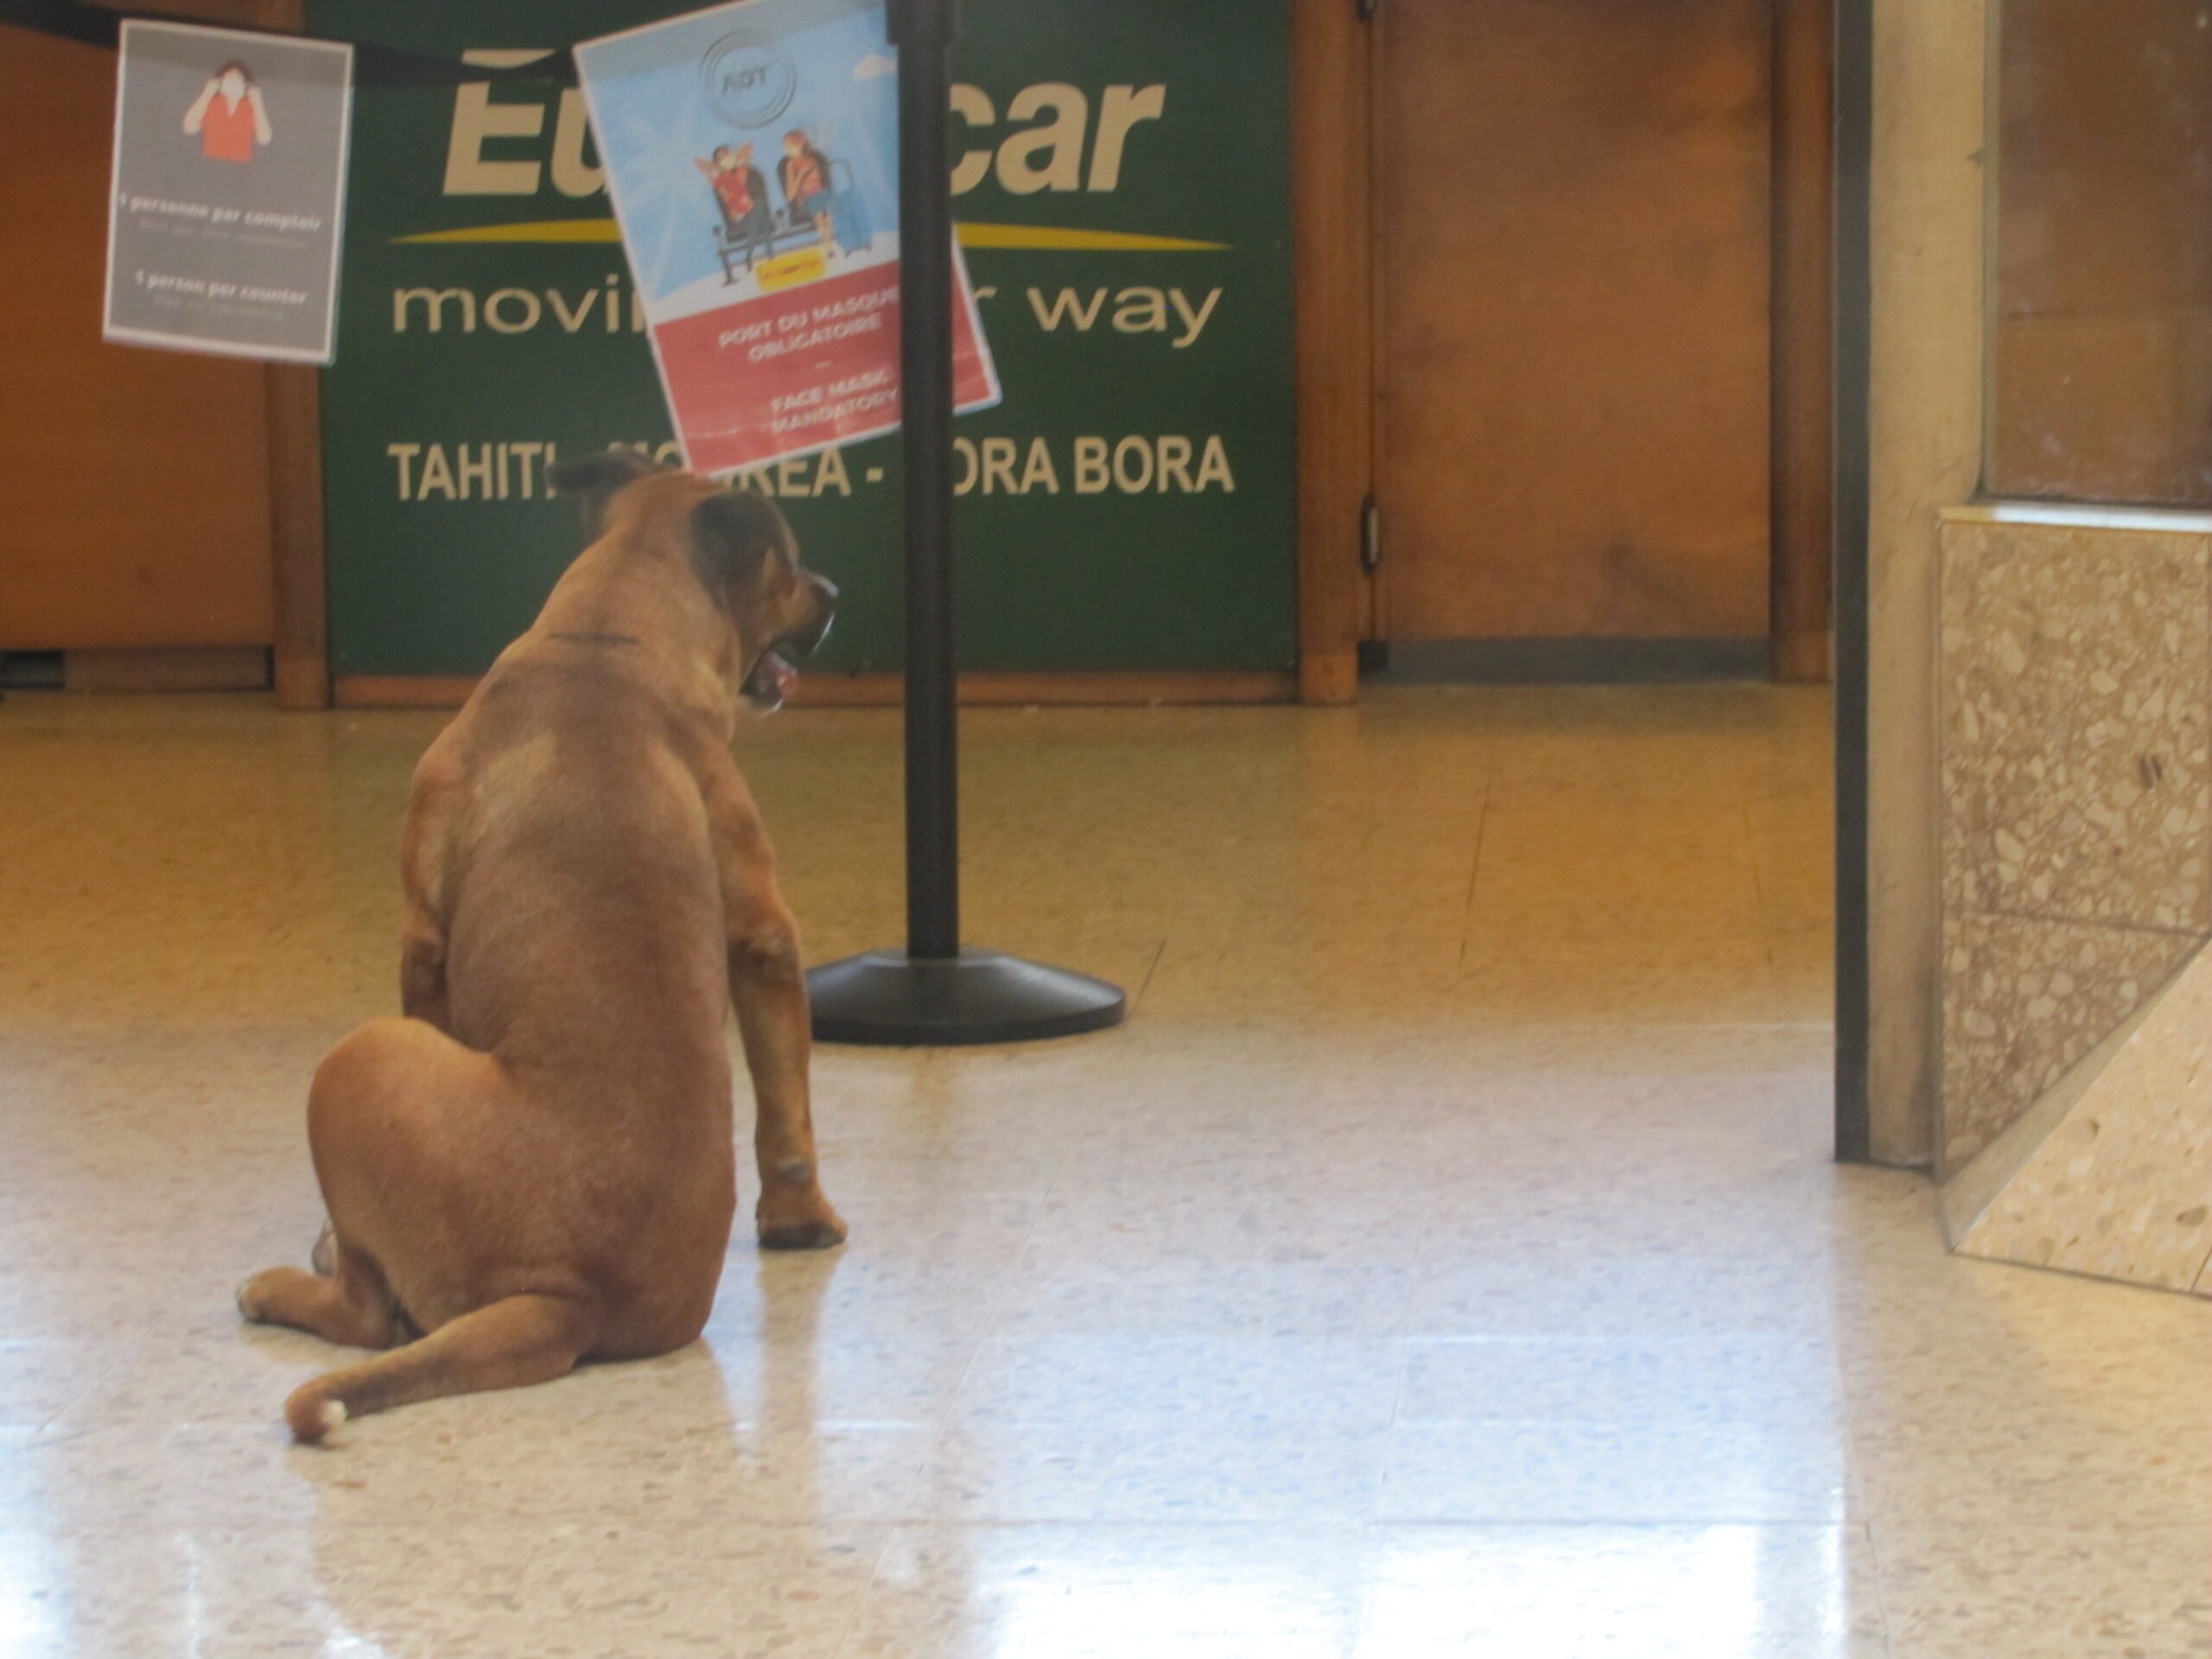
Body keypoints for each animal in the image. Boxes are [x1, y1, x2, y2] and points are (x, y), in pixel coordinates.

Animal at [239, 451, 844, 1442]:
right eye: (791, 566)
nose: (831, 591)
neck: (605, 643)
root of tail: (572, 1299)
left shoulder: (423, 940)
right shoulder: (759, 925)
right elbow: (785, 1100)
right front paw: (801, 1215)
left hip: (360, 1059)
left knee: (368, 1314)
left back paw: (293, 1280)